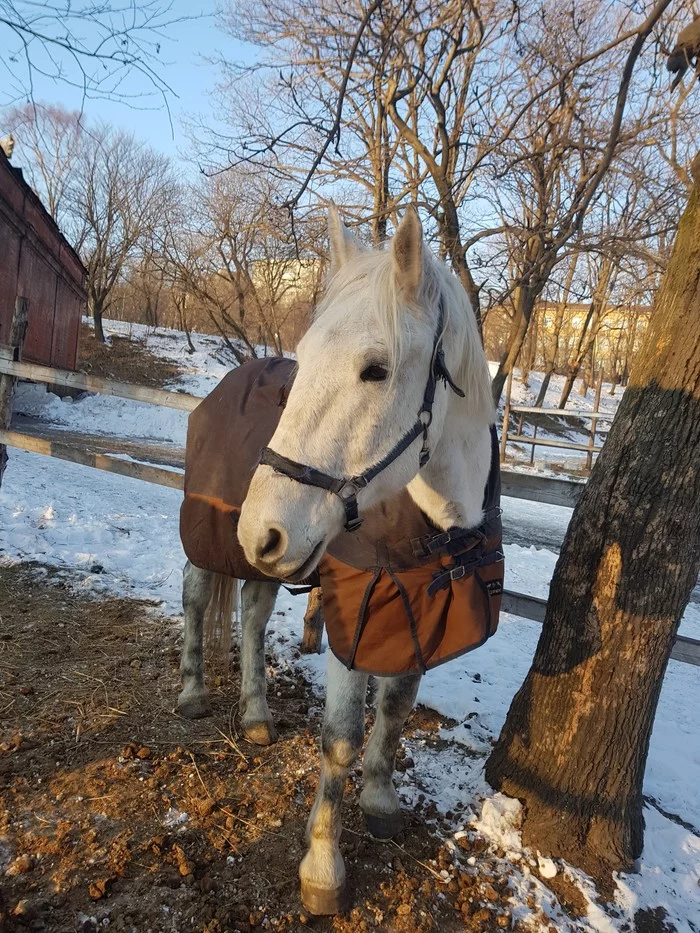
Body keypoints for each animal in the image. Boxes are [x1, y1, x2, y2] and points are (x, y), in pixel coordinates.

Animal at [176, 208, 492, 912]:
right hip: (213, 540)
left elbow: (395, 711)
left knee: (252, 617)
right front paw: (323, 864)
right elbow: (341, 738)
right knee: (195, 599)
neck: (433, 530)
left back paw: (257, 715)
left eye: (375, 369)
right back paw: (191, 691)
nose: (259, 528)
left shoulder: (416, 613)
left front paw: (379, 798)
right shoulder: (354, 617)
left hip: (269, 564)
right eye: (306, 361)